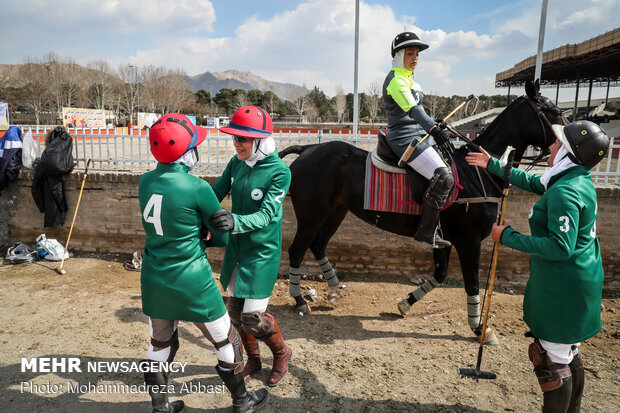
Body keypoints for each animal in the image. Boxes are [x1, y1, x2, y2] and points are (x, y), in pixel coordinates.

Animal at [280, 79, 560, 338]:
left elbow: (440, 274)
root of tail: (306, 148)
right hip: (311, 215)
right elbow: (471, 284)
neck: (476, 172)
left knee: (318, 246)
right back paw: (300, 300)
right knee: (296, 250)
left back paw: (334, 291)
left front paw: (406, 303)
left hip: (335, 212)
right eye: (554, 112)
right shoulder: (469, 241)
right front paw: (479, 328)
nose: (564, 147)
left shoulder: (444, 238)